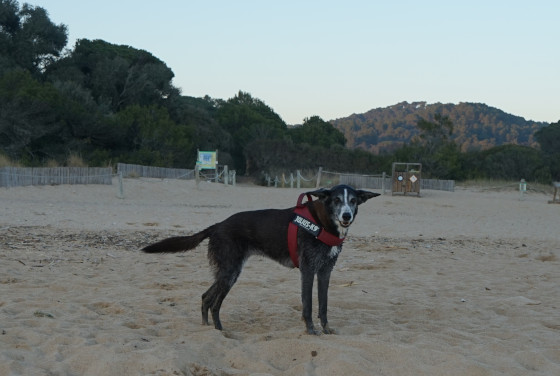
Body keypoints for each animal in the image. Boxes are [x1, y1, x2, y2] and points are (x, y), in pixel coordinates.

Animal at [143, 184, 380, 334]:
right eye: (337, 200)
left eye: (353, 201)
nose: (346, 215)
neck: (323, 223)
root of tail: (217, 226)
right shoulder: (307, 270)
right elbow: (308, 305)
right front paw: (311, 330)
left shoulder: (325, 272)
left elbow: (323, 305)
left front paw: (326, 329)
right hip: (230, 273)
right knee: (214, 303)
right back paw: (220, 331)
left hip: (226, 272)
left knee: (205, 297)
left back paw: (207, 328)